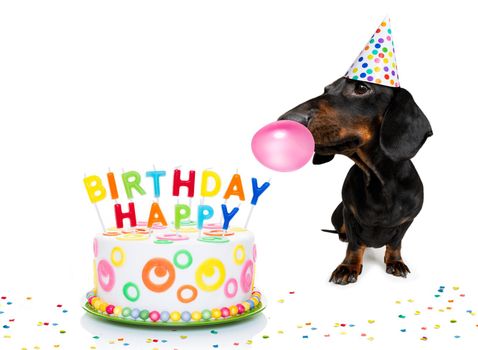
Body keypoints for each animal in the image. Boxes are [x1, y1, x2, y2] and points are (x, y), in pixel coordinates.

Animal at [278, 78, 432, 284]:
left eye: (361, 88)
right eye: (326, 89)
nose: (285, 120)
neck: (379, 184)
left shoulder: (407, 220)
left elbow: (395, 243)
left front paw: (395, 262)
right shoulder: (349, 214)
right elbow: (355, 244)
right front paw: (348, 267)